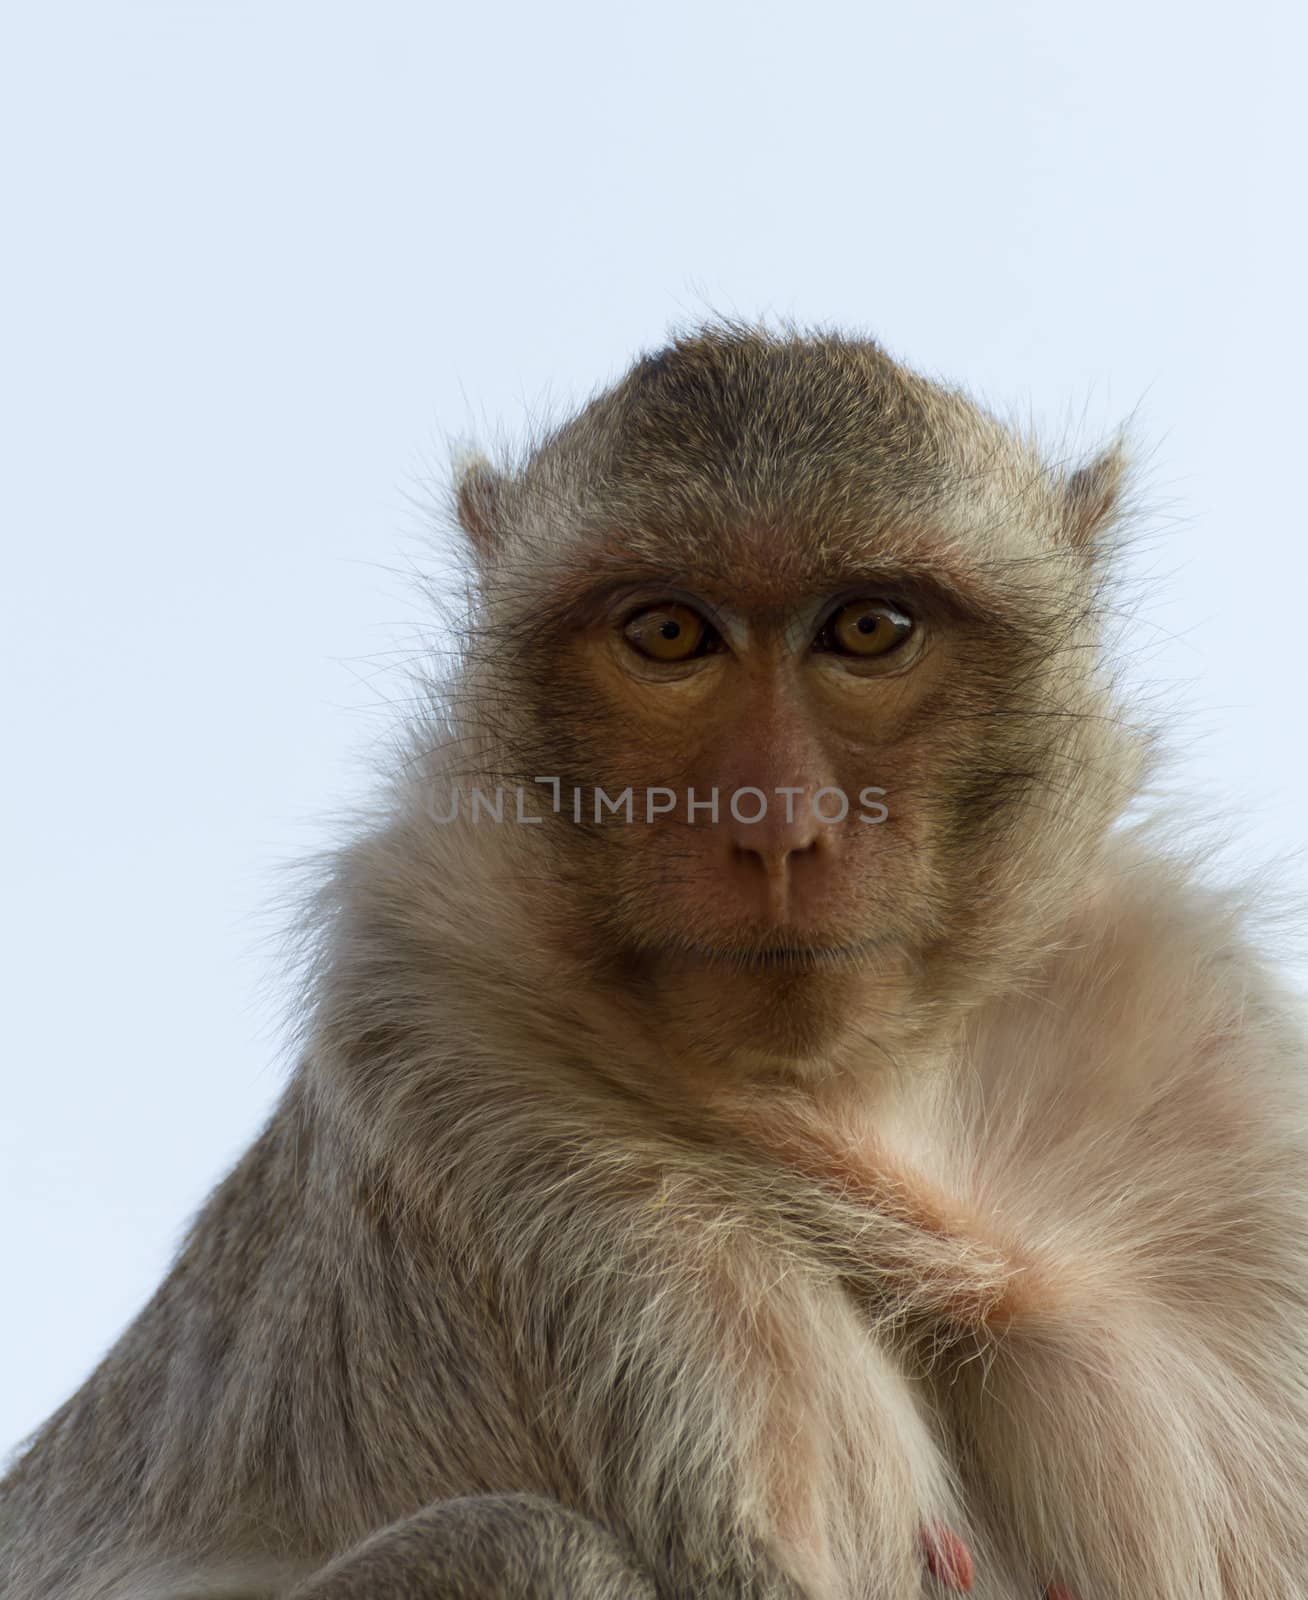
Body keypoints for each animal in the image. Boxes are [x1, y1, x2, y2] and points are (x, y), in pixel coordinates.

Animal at [2, 318, 1304, 1593]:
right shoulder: (495, 1096)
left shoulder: (1209, 1070)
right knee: (516, 1541)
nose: (774, 826)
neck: (876, 1102)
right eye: (670, 633)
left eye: (869, 629)